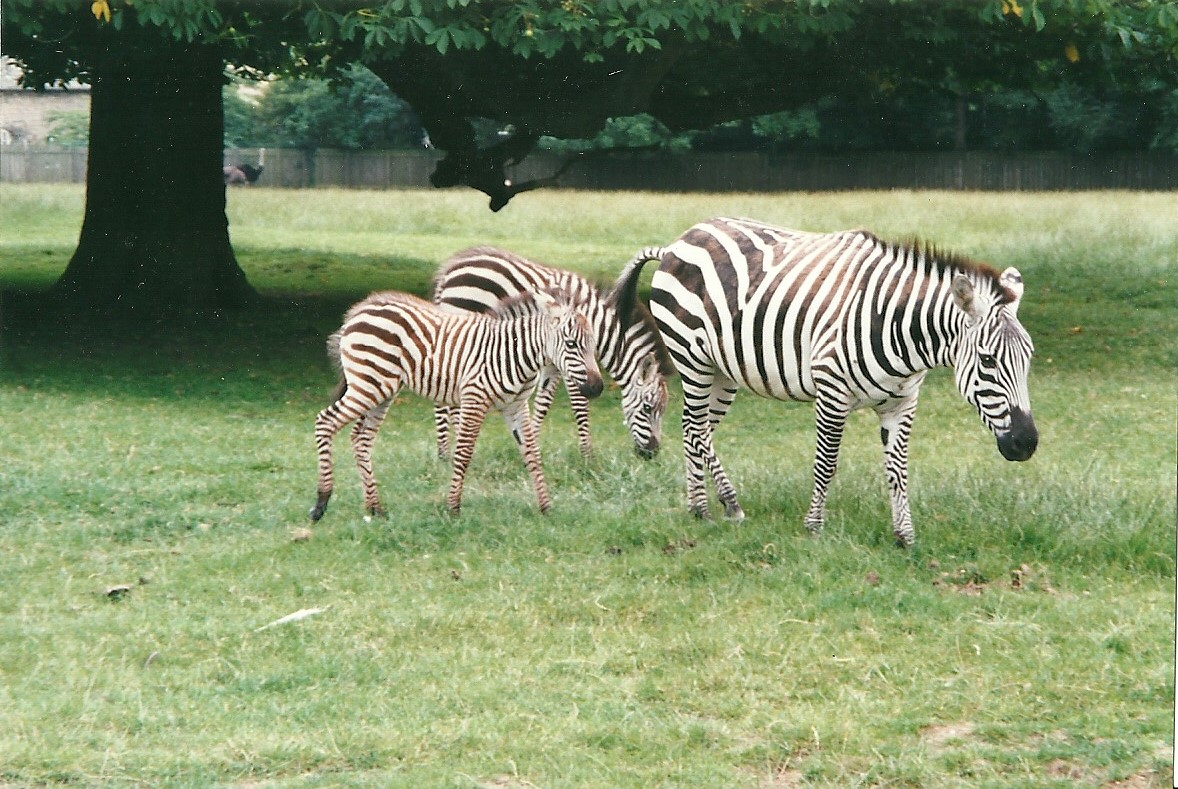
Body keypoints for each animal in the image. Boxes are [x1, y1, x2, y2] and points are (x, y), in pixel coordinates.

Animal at [310, 288, 604, 520]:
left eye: (593, 344)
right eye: (571, 344)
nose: (597, 388)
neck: (515, 353)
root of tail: (358, 311)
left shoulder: (516, 407)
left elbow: (532, 454)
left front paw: (545, 507)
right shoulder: (474, 400)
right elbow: (463, 454)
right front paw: (453, 508)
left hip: (382, 390)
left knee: (360, 438)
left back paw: (375, 508)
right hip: (369, 385)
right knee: (325, 422)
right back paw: (321, 502)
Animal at [431, 246, 670, 460]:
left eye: (662, 410)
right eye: (648, 408)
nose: (651, 454)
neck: (599, 326)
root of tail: (449, 271)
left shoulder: (555, 362)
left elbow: (543, 403)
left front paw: (529, 443)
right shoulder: (573, 359)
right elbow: (579, 403)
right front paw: (587, 456)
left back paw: (444, 451)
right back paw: (451, 448)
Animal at [616, 217, 1038, 547]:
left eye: (1028, 358)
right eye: (987, 360)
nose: (1026, 444)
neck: (898, 328)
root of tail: (677, 242)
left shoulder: (903, 402)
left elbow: (898, 469)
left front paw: (905, 536)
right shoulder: (832, 392)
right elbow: (826, 463)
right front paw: (814, 527)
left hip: (723, 372)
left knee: (696, 428)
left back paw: (707, 506)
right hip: (693, 359)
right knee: (694, 428)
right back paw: (717, 506)